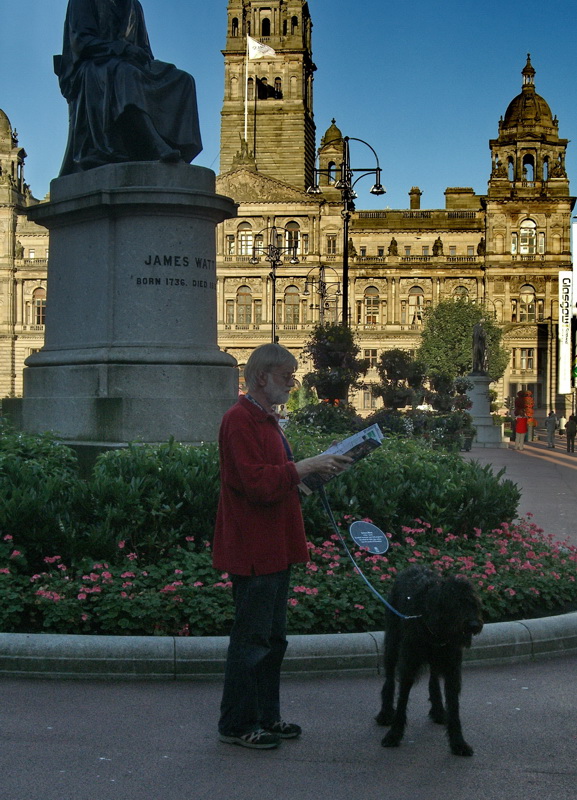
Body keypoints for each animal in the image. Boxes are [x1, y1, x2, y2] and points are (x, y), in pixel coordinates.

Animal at [376, 564, 484, 756]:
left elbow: (454, 705)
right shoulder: (409, 665)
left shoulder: (452, 668)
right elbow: (402, 700)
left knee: (433, 678)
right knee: (389, 679)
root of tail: (412, 567)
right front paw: (394, 734)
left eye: (473, 603)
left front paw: (458, 742)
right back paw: (386, 713)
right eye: (457, 604)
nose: (474, 625)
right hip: (392, 644)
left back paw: (439, 710)